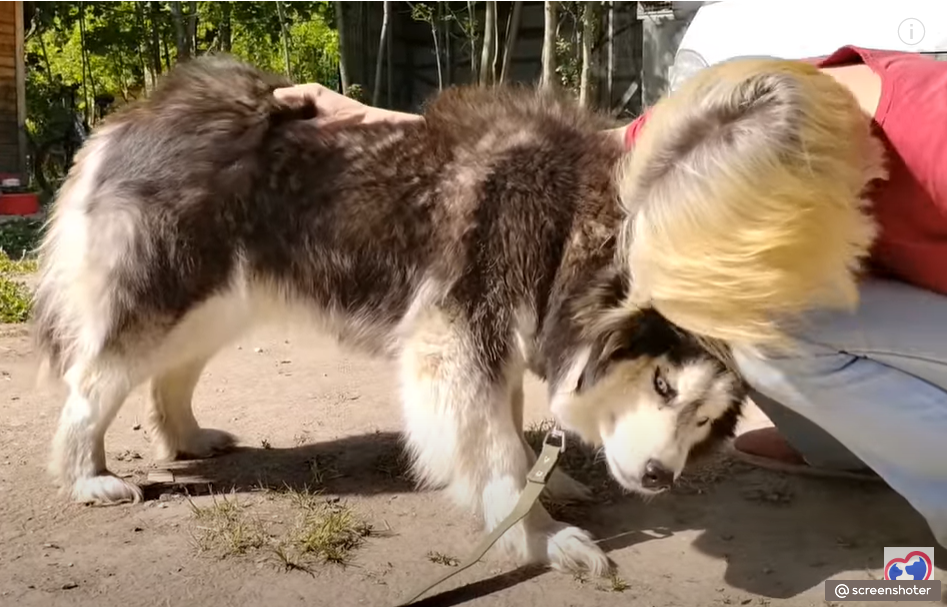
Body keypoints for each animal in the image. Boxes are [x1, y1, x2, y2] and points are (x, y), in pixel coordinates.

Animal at [32, 55, 746, 575]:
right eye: (662, 384)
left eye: (703, 420)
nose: (660, 478)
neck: (566, 223)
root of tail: (134, 115)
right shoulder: (456, 338)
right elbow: (494, 452)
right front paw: (538, 536)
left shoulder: (497, 341)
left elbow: (510, 426)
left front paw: (550, 482)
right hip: (169, 295)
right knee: (91, 384)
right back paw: (88, 476)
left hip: (220, 302)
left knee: (169, 374)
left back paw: (187, 437)